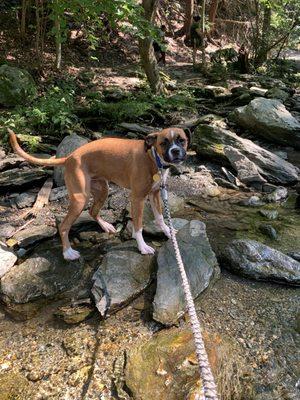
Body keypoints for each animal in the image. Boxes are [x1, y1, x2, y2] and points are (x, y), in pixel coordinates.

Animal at [8, 127, 189, 260]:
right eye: (164, 143)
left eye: (182, 140)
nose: (175, 151)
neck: (153, 158)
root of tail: (69, 157)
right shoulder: (137, 199)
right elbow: (138, 226)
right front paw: (142, 247)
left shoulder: (155, 194)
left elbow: (160, 218)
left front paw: (168, 232)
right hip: (80, 199)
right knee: (64, 226)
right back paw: (68, 253)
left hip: (102, 190)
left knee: (92, 211)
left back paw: (106, 226)